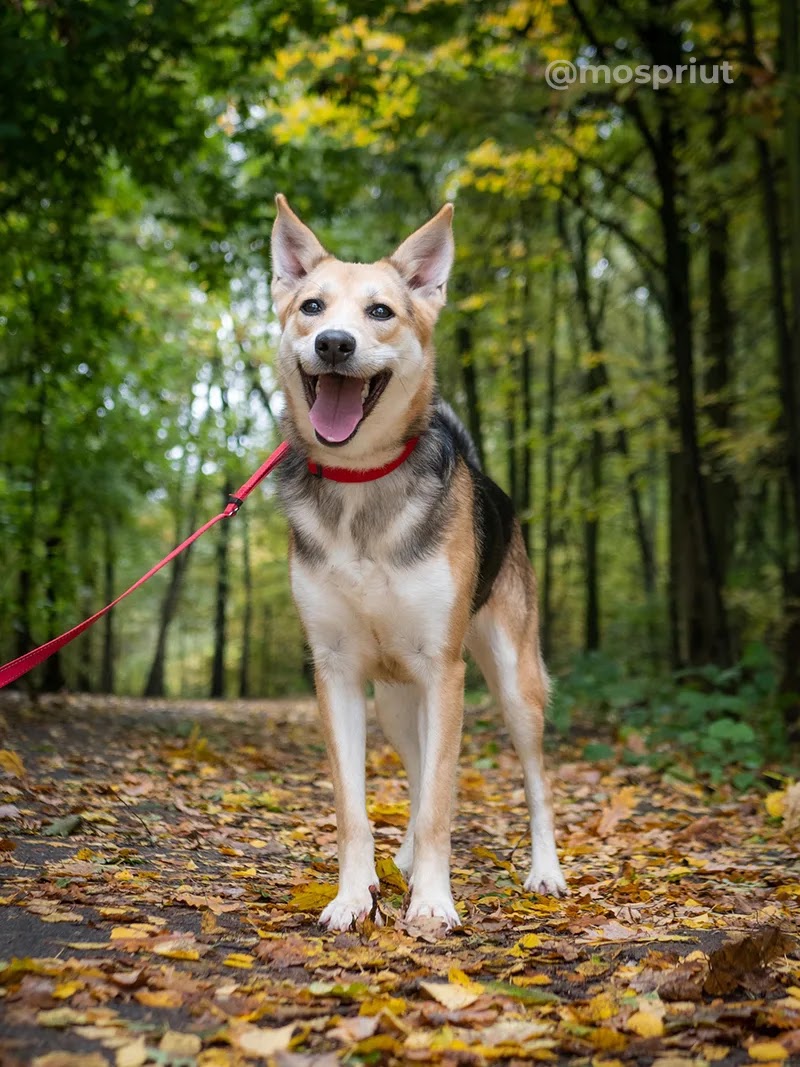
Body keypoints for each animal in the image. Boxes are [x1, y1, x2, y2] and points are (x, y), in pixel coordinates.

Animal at [273, 196, 567, 930]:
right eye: (312, 306)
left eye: (381, 311)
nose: (335, 344)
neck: (362, 484)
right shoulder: (337, 672)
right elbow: (354, 808)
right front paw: (354, 896)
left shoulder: (444, 669)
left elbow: (440, 802)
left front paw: (433, 901)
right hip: (396, 700)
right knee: (412, 766)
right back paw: (401, 860)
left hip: (513, 682)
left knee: (536, 782)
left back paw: (545, 871)